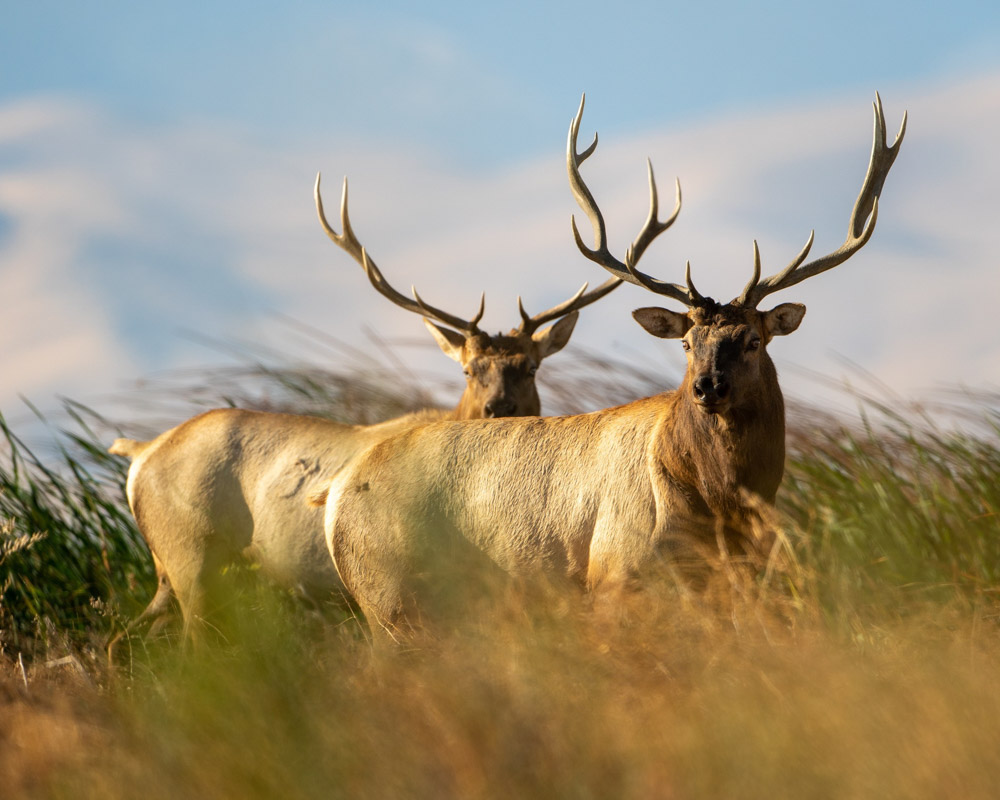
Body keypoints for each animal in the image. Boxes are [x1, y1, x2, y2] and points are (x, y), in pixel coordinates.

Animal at [107, 169, 639, 652]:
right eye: (470, 369)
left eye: (529, 367)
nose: (498, 408)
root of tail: (140, 454)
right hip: (190, 554)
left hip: (168, 569)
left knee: (123, 640)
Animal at [314, 94, 906, 643]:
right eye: (687, 342)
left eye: (753, 340)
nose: (707, 387)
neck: (723, 507)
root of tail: (337, 494)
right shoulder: (614, 573)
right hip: (388, 596)